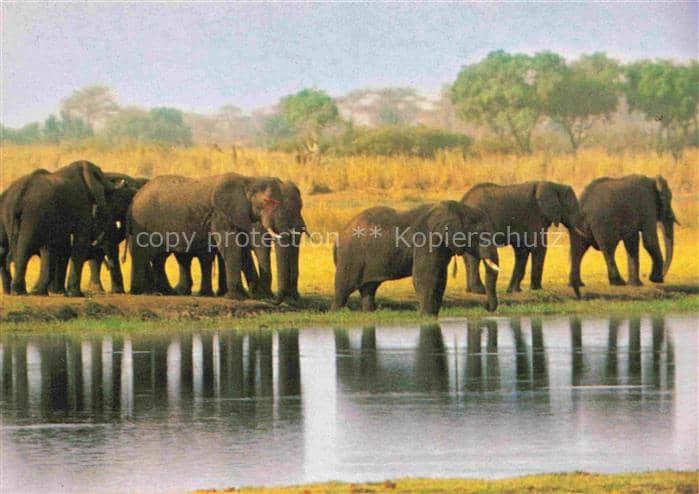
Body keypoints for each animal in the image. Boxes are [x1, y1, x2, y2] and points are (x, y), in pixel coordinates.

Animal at [1, 161, 123, 296]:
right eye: (107, 194)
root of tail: (20, 193)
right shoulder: (81, 205)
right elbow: (80, 240)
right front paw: (76, 295)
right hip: (32, 213)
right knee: (25, 247)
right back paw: (20, 292)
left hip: (11, 213)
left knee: (17, 247)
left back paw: (22, 292)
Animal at [128, 173, 288, 299]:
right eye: (266, 202)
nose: (270, 298)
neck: (248, 181)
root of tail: (136, 196)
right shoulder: (220, 214)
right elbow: (231, 247)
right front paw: (236, 298)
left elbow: (242, 249)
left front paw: (252, 296)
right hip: (141, 221)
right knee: (142, 254)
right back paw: (141, 292)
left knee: (159, 258)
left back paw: (167, 292)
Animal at [332, 201, 500, 315]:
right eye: (482, 236)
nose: (486, 307)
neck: (458, 208)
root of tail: (339, 234)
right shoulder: (427, 240)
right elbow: (426, 275)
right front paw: (426, 315)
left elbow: (440, 276)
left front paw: (433, 315)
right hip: (350, 255)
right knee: (344, 286)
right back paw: (337, 312)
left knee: (369, 287)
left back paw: (370, 313)